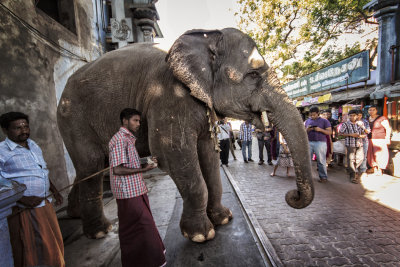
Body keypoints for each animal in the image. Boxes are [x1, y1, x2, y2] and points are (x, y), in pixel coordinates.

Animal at [57, 27, 312, 243]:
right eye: (253, 74)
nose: (292, 195)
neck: (207, 36)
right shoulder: (168, 96)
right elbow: (172, 153)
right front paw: (201, 235)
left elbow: (209, 155)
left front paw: (223, 218)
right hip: (73, 119)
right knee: (91, 164)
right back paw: (100, 231)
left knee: (91, 166)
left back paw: (74, 214)